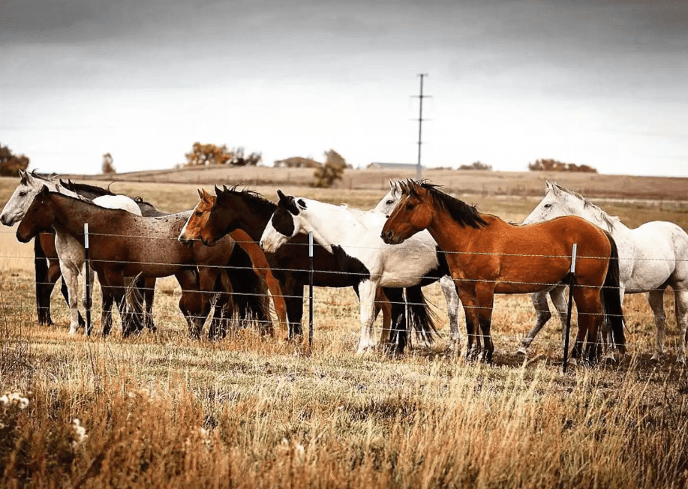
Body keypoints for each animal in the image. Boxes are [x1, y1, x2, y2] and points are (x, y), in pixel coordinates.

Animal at [16, 187, 270, 338]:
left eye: (36, 207)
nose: (20, 234)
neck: (101, 225)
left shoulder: (115, 272)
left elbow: (120, 300)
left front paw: (128, 330)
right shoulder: (103, 273)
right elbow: (108, 301)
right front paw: (107, 331)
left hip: (208, 271)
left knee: (209, 301)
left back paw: (199, 333)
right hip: (218, 272)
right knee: (225, 300)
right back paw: (214, 333)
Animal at [177, 186, 436, 353]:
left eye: (202, 212)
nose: (187, 238)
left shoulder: (287, 281)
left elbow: (289, 311)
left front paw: (291, 340)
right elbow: (288, 311)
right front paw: (292, 340)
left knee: (390, 310)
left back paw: (386, 345)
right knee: (394, 309)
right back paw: (392, 345)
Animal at [259, 190, 463, 354]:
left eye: (278, 216)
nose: (263, 243)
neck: (352, 233)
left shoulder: (368, 281)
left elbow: (367, 316)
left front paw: (362, 349)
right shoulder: (359, 282)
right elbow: (371, 315)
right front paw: (370, 347)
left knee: (454, 311)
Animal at [380, 179, 625, 363]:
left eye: (410, 205)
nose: (386, 234)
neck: (470, 238)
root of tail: (600, 231)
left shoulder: (485, 288)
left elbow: (485, 320)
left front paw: (487, 354)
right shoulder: (465, 290)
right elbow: (471, 321)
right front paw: (471, 354)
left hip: (588, 287)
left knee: (595, 316)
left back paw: (589, 358)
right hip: (579, 288)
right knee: (586, 317)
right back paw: (576, 355)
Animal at [522, 181, 688, 362]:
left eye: (547, 204)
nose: (525, 225)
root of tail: (680, 231)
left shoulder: (616, 289)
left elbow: (609, 321)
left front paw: (608, 355)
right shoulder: (598, 290)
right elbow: (601, 321)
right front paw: (599, 354)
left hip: (681, 288)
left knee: (681, 320)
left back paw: (680, 357)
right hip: (655, 291)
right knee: (660, 319)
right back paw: (657, 355)